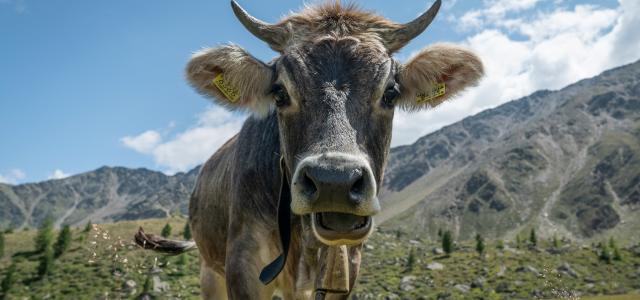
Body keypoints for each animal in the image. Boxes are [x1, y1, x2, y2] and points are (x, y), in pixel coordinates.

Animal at [135, 0, 482, 298]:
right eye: (279, 92)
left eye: (390, 93)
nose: (334, 182)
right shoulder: (243, 264)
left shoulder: (343, 269)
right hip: (210, 269)